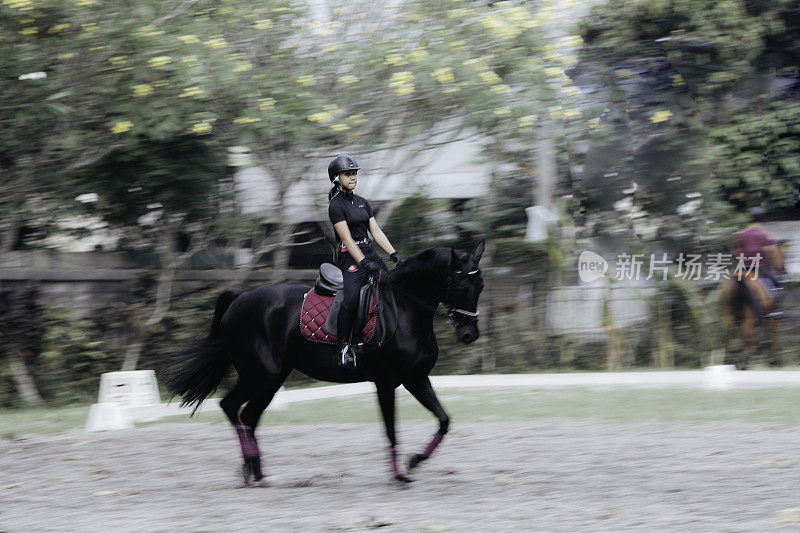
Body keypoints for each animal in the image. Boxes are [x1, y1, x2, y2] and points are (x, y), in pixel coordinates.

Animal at [166, 241, 484, 482]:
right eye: (460, 284)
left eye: (479, 286)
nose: (470, 335)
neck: (404, 308)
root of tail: (240, 299)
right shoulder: (386, 382)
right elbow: (391, 428)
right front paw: (398, 474)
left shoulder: (416, 378)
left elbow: (444, 420)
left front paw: (415, 460)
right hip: (259, 375)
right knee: (230, 406)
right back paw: (251, 465)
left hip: (272, 379)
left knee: (249, 416)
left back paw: (256, 471)